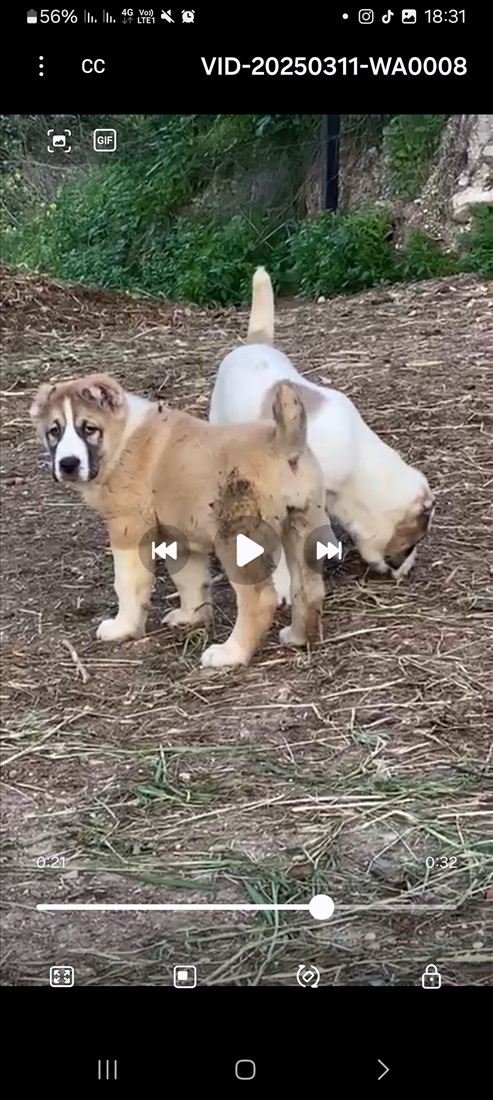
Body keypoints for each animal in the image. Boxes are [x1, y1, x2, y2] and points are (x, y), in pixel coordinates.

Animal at [28, 374, 325, 668]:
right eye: (54, 431)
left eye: (89, 428)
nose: (67, 463)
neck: (122, 438)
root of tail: (282, 443)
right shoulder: (178, 536)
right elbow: (189, 579)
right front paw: (191, 616)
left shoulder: (129, 528)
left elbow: (128, 584)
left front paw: (123, 627)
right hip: (302, 527)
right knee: (308, 589)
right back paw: (297, 636)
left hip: (237, 539)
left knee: (259, 600)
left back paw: (231, 654)